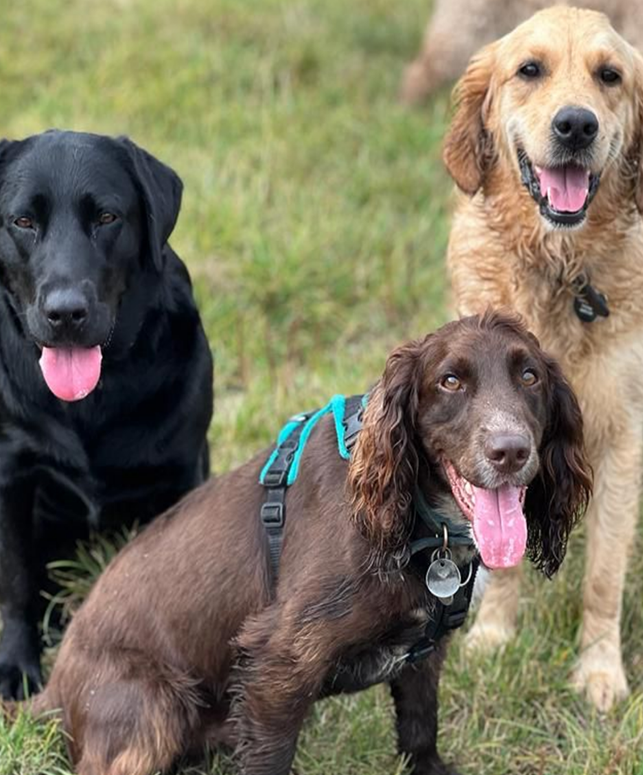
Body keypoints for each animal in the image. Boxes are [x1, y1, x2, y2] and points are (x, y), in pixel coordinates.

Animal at [0, 130, 214, 700]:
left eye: (107, 218)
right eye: (22, 221)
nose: (66, 312)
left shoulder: (183, 471)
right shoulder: (10, 476)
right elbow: (15, 580)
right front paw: (16, 665)